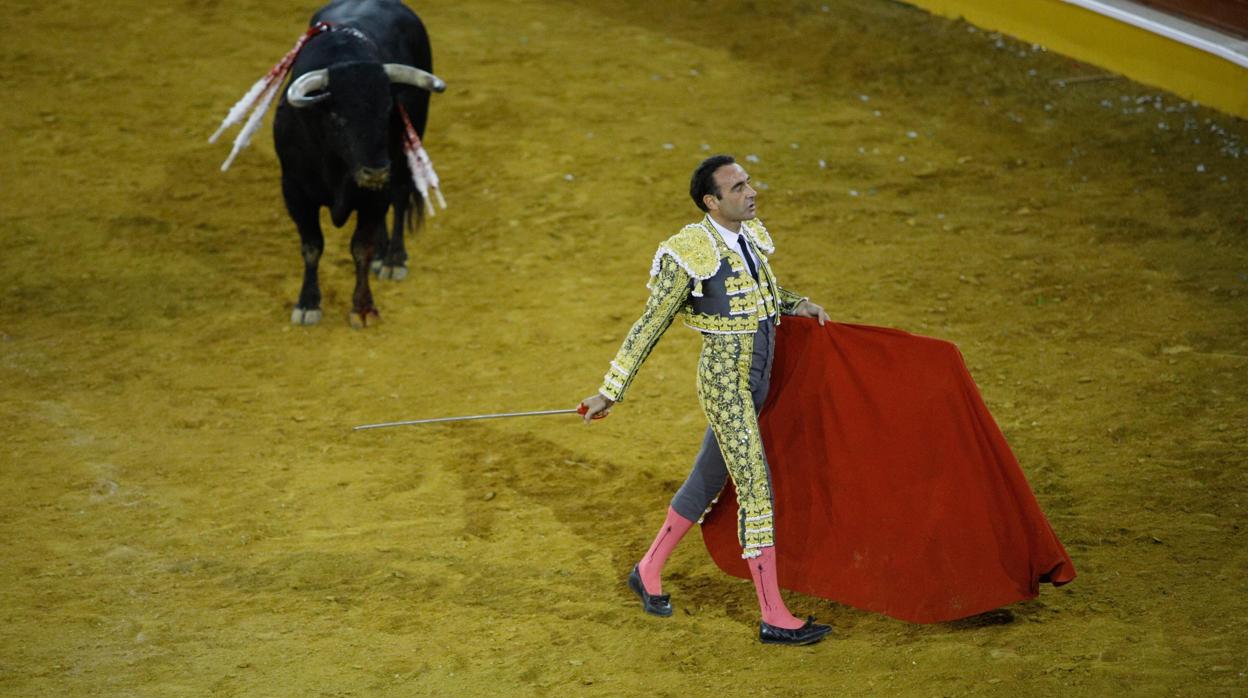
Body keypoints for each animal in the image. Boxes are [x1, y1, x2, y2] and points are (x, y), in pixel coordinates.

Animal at [274, 0, 444, 327]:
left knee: (400, 199)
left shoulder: (376, 191)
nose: (375, 171)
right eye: (338, 118)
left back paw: (391, 258)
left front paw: (363, 307)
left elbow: (360, 248)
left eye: (388, 110)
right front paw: (307, 303)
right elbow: (312, 247)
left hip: (402, 160)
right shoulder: (295, 193)